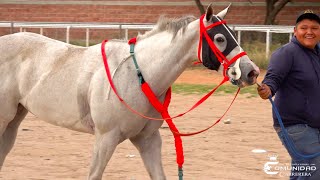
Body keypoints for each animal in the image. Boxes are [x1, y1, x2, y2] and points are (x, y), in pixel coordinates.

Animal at [0, 3, 258, 179]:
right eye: (220, 38)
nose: (251, 72)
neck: (138, 74)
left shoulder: (148, 140)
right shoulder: (105, 138)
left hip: (15, 118)